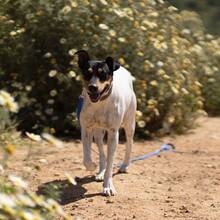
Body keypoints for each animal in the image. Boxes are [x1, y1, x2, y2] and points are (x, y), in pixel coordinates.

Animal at [75, 50, 137, 196]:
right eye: (87, 73)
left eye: (103, 74)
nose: (92, 87)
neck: (99, 104)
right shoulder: (86, 129)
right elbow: (87, 158)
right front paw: (93, 166)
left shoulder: (113, 133)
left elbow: (110, 162)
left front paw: (108, 186)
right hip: (98, 133)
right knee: (101, 151)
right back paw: (100, 172)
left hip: (129, 123)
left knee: (129, 143)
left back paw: (124, 165)